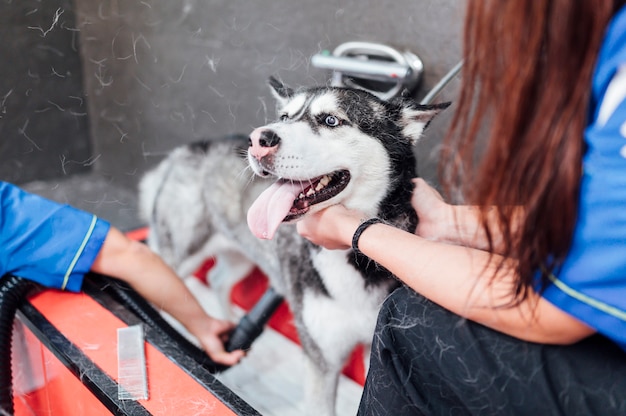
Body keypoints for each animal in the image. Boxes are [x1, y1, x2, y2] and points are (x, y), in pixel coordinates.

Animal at [139, 79, 446, 416]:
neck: (354, 259)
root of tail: (187, 149)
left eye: (330, 120)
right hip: (180, 255)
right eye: (285, 117)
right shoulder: (321, 358)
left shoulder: (371, 351)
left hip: (241, 254)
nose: (258, 140)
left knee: (218, 279)